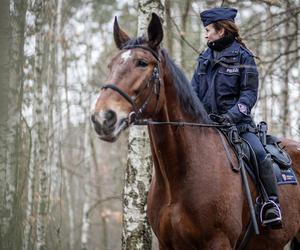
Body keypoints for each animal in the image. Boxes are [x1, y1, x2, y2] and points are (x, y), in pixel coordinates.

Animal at [91, 14, 300, 250]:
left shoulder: (219, 242)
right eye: (111, 65)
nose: (102, 117)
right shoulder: (166, 244)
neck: (177, 179)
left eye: (142, 63)